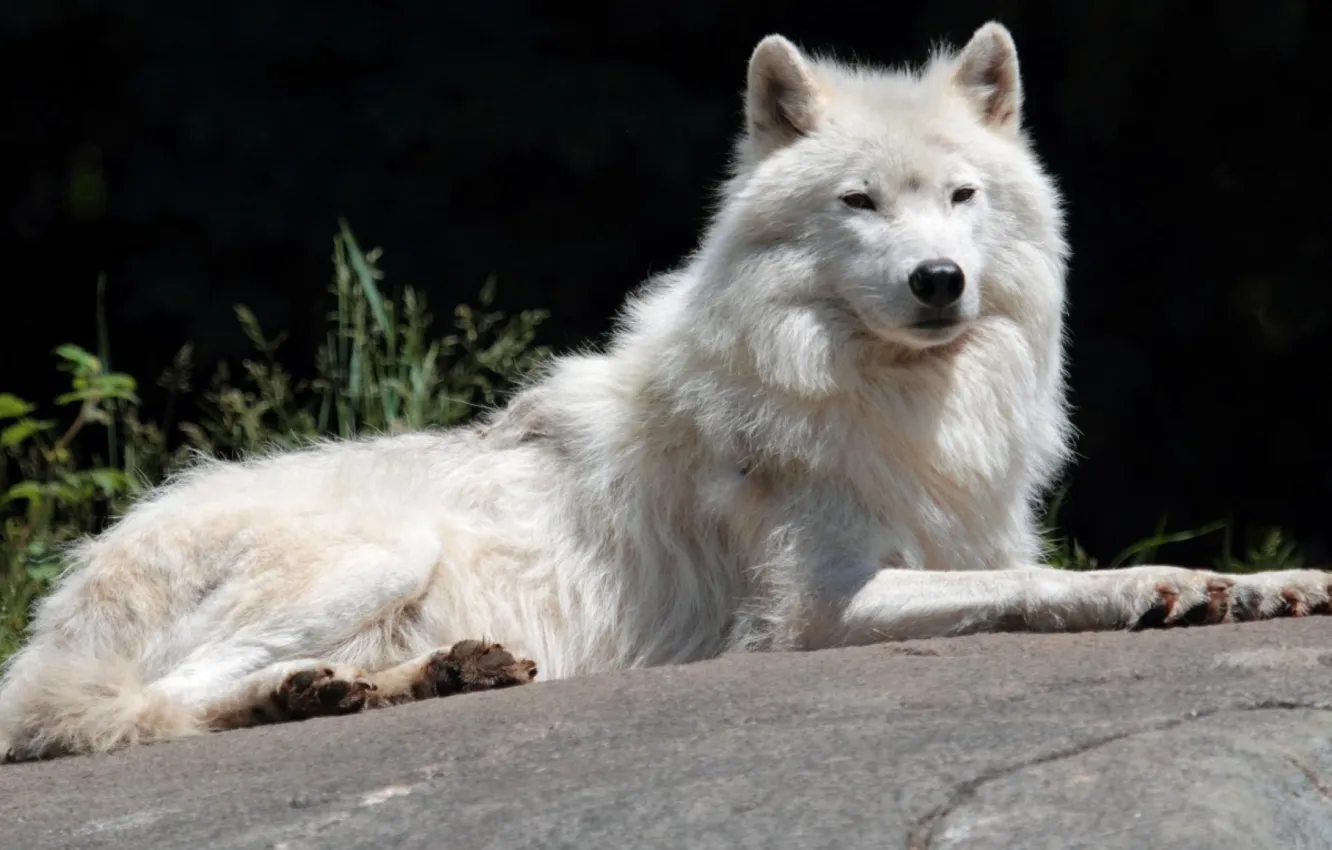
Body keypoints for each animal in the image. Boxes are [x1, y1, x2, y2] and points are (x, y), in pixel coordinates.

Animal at [2, 22, 1328, 763]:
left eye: (960, 197)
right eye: (860, 203)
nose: (940, 281)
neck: (893, 404)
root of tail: (73, 589)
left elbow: (1073, 566)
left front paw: (1269, 584)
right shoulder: (811, 615)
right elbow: (1035, 588)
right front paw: (1158, 588)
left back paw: (416, 681)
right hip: (378, 553)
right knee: (139, 707)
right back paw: (307, 693)